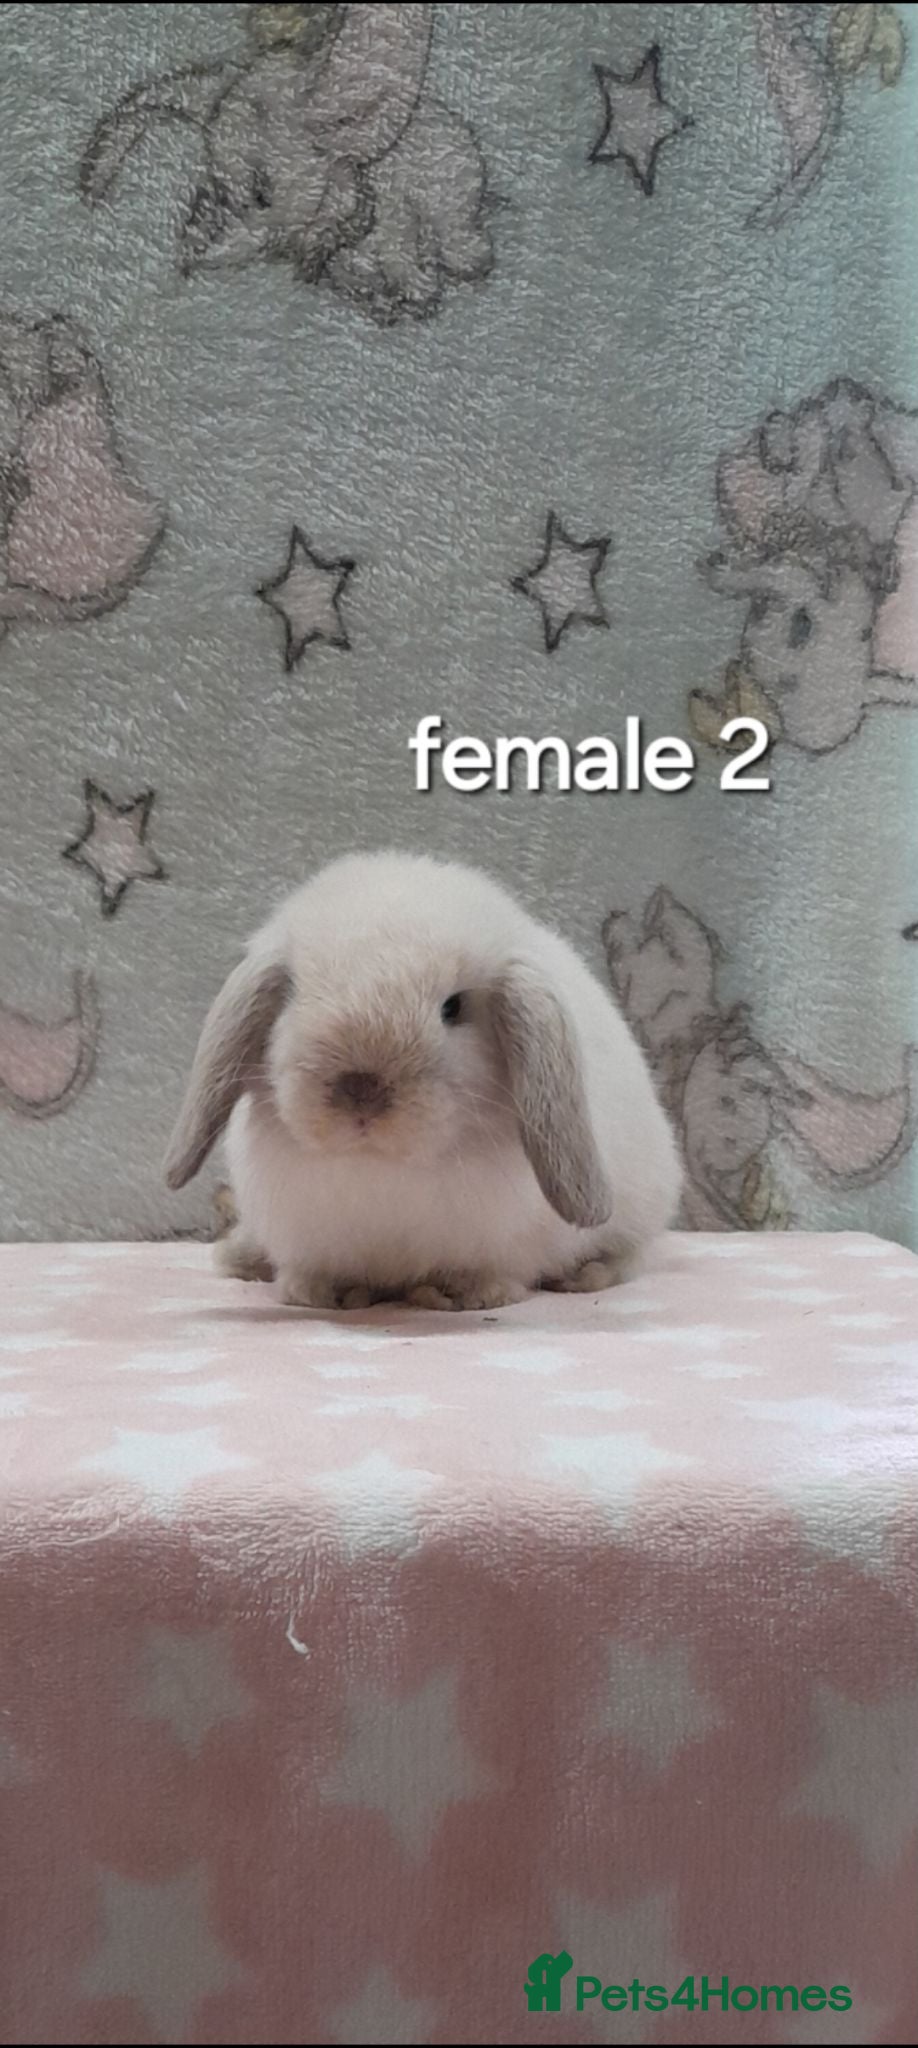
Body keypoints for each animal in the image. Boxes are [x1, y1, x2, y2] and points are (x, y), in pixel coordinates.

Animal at [163, 852, 682, 1311]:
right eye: (293, 994)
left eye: (453, 1007)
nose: (361, 1090)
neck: (379, 1165)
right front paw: (324, 1294)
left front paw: (461, 1296)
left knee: (630, 1252)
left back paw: (585, 1275)